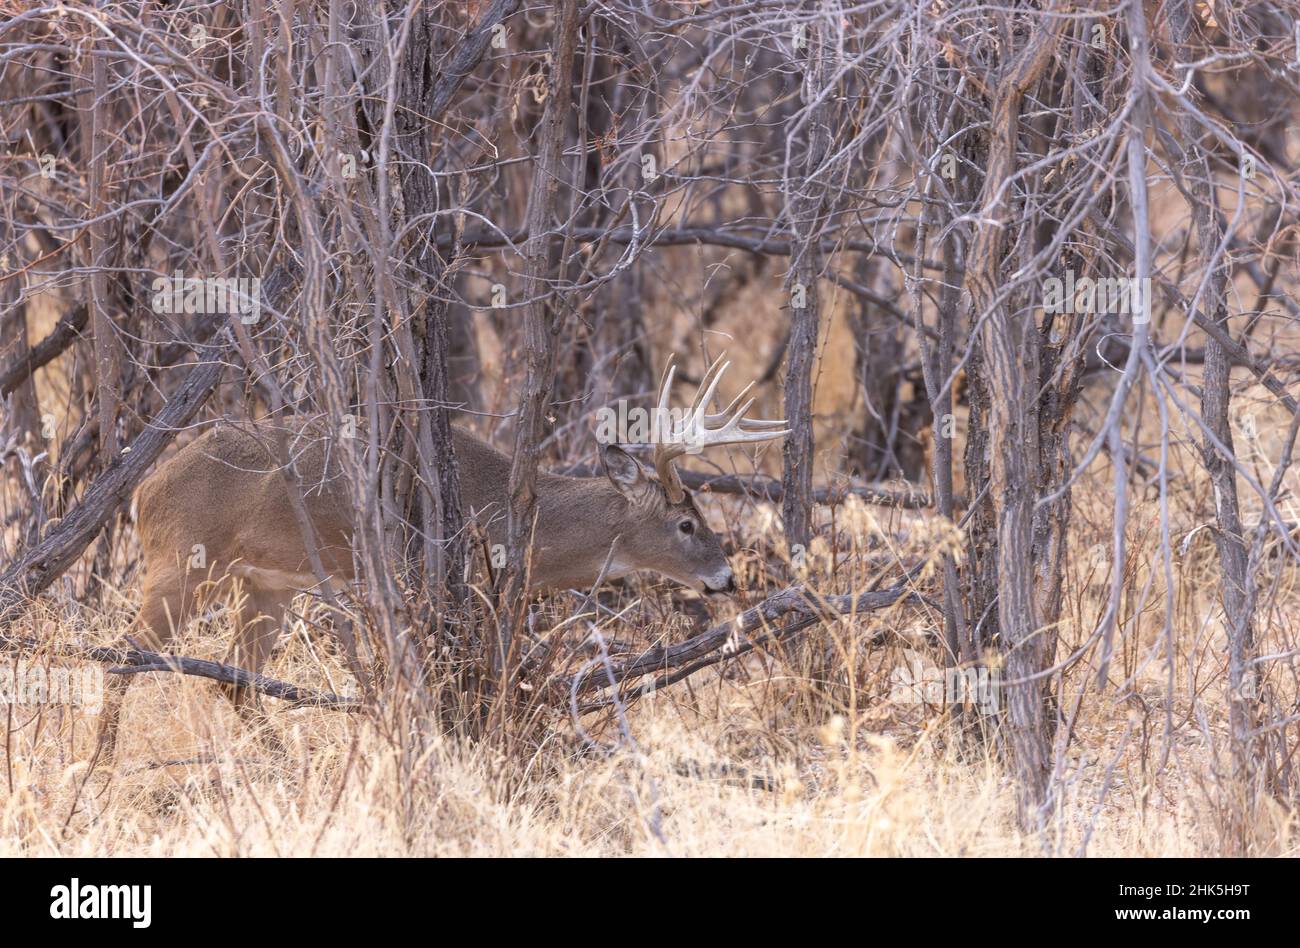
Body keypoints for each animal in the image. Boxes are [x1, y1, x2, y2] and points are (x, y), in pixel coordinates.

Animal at [94, 354, 787, 758]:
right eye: (686, 523)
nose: (727, 579)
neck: (510, 511)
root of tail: (144, 491)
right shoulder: (448, 582)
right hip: (184, 563)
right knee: (123, 657)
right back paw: (99, 765)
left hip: (266, 584)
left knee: (234, 683)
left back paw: (284, 763)